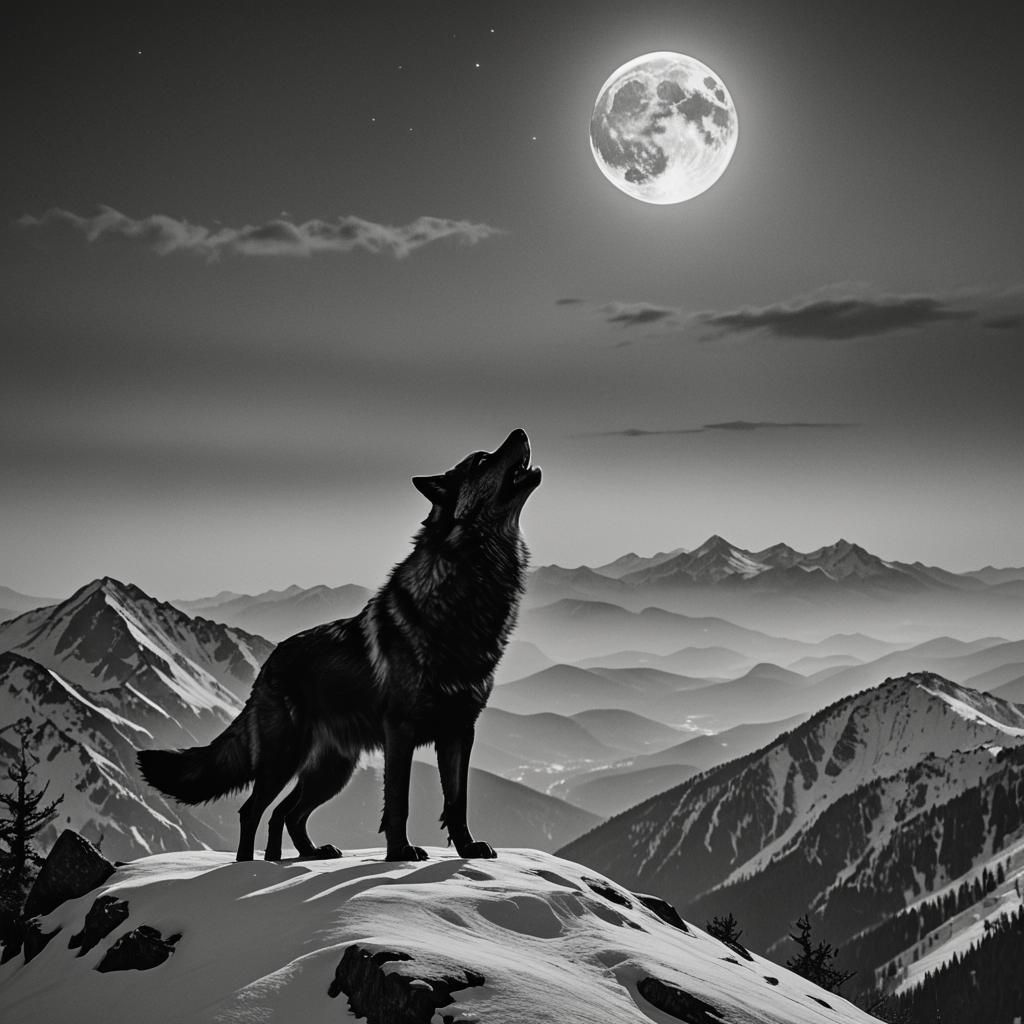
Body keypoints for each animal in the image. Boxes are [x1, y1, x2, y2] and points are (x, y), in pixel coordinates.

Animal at [138, 428, 541, 862]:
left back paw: (301, 855)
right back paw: (250, 865)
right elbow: (399, 801)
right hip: (287, 760)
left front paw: (467, 848)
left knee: (286, 812)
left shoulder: (460, 731)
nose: (520, 431)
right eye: (483, 460)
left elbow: (457, 800)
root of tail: (266, 667)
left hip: (331, 771)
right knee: (253, 810)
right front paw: (400, 852)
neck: (469, 586)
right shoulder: (401, 731)